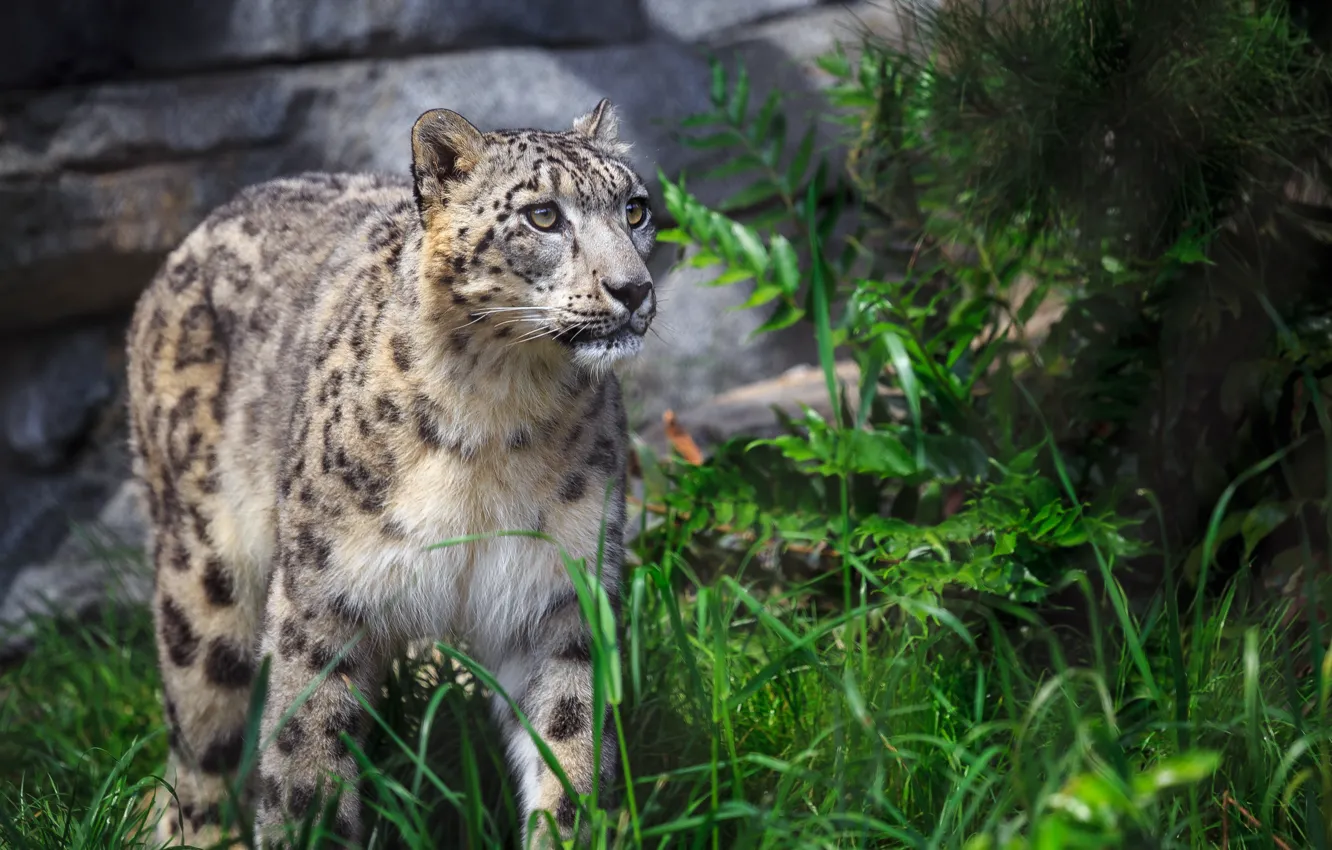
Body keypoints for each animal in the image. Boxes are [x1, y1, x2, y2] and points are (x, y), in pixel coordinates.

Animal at [125, 99, 656, 848]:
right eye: (544, 216)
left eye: (635, 209)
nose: (633, 289)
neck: (495, 417)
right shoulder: (323, 593)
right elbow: (305, 761)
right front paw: (307, 825)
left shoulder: (558, 590)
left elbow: (569, 736)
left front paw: (567, 826)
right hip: (203, 574)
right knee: (201, 746)